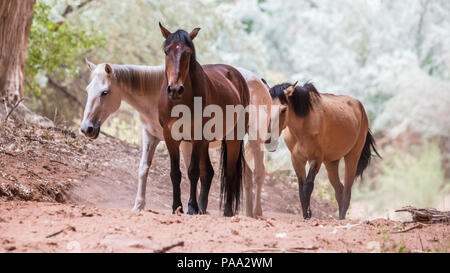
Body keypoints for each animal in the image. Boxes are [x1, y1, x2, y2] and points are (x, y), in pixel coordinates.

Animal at [81, 60, 270, 217]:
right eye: (88, 90)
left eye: (105, 92)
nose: (86, 128)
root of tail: (260, 82)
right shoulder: (150, 136)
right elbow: (144, 169)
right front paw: (139, 206)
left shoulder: (186, 143)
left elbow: (191, 171)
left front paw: (190, 208)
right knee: (244, 174)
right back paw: (246, 213)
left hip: (251, 141)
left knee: (258, 173)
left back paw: (256, 212)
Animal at [264, 81, 380, 219]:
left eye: (283, 109)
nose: (269, 140)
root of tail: (360, 107)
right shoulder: (297, 159)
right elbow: (301, 188)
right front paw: (306, 215)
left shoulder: (316, 158)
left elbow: (308, 186)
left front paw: (309, 215)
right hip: (331, 162)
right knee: (339, 190)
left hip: (352, 156)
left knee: (347, 191)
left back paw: (341, 219)